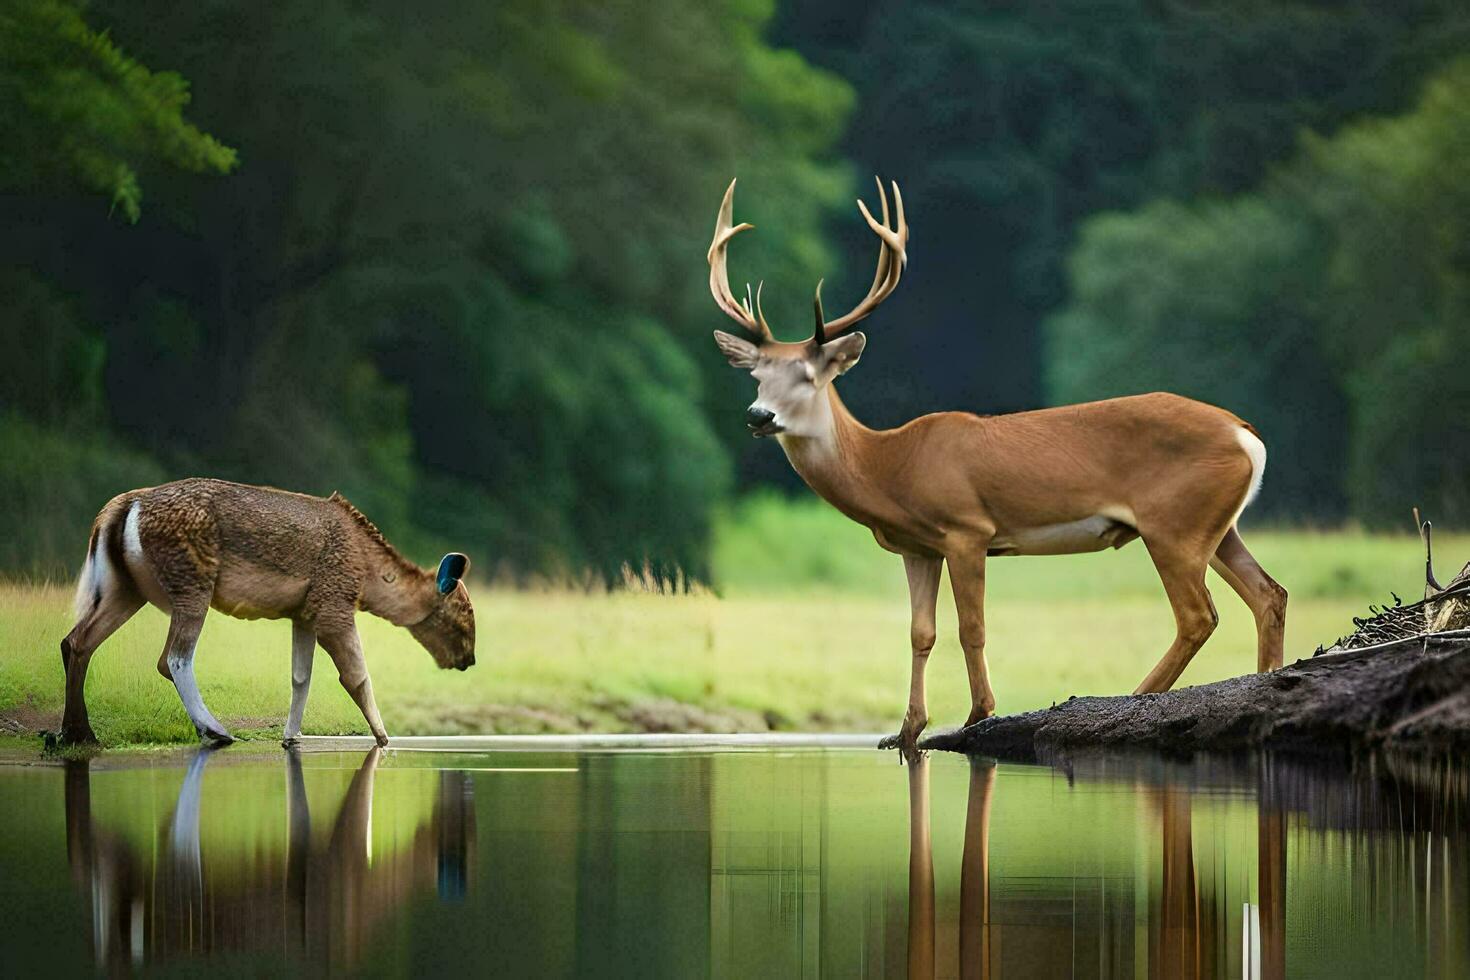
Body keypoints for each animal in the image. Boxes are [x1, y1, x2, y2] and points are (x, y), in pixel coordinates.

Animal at [60, 478, 473, 746]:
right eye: (463, 616)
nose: (468, 660)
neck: (369, 581)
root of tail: (120, 508)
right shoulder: (333, 604)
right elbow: (356, 676)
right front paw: (385, 738)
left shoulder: (303, 613)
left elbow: (300, 677)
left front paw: (291, 736)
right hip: (191, 584)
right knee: (173, 658)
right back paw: (215, 730)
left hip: (126, 588)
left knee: (76, 641)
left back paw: (77, 734)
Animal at [708, 176, 1287, 752]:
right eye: (756, 375)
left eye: (807, 376)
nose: (759, 415)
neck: (889, 466)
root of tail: (1246, 434)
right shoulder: (918, 547)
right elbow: (921, 633)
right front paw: (906, 730)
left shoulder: (967, 527)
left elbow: (972, 627)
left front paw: (976, 714)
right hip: (1216, 524)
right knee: (1269, 594)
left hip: (1173, 523)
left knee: (1198, 614)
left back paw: (1131, 698)